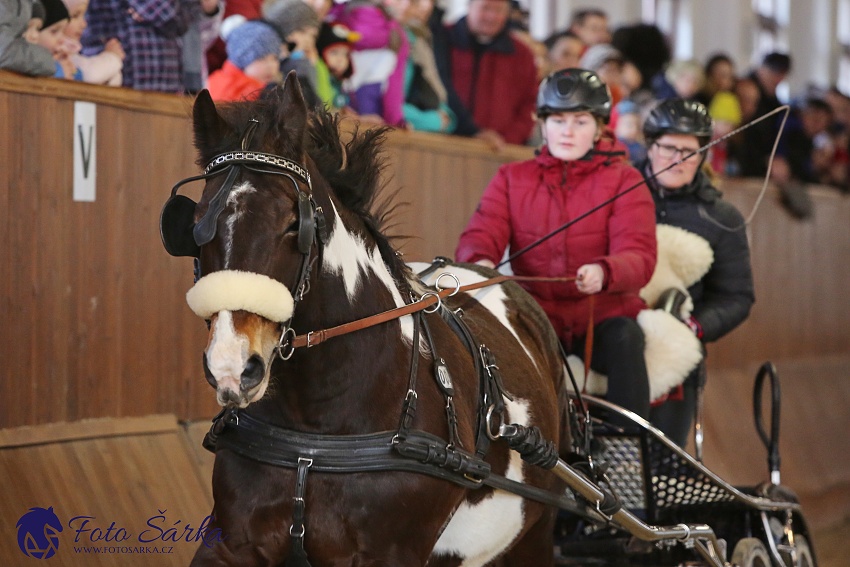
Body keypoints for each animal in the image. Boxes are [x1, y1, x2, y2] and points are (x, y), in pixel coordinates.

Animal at [166, 77, 568, 564]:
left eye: (292, 224)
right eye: (195, 226)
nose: (232, 366)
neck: (315, 434)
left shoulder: (392, 551)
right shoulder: (234, 542)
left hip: (536, 533)